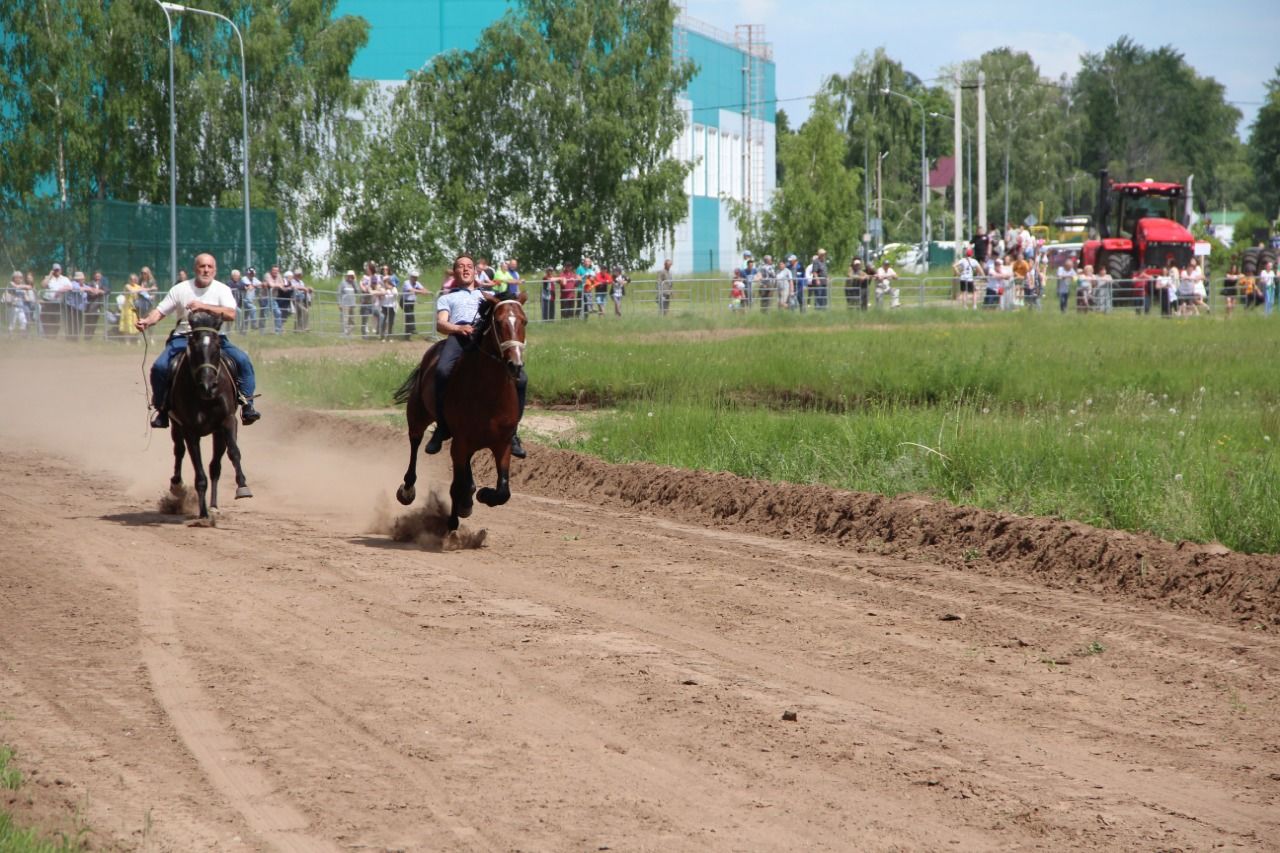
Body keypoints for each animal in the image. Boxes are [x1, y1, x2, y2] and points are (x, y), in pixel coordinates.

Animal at [167, 307, 252, 517]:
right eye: (193, 347)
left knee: (215, 466)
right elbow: (199, 473)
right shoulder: (190, 431)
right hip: (175, 425)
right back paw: (177, 486)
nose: (208, 386)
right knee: (178, 451)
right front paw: (203, 514)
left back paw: (213, 505)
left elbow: (233, 453)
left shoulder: (227, 422)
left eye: (217, 347)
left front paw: (242, 486)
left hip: (216, 432)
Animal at [391, 295, 527, 527]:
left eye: (524, 321)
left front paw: (483, 495)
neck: (489, 393)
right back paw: (408, 490)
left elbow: (503, 491)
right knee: (415, 442)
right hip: (418, 414)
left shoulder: (502, 444)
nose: (515, 364)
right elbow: (457, 486)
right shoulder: (460, 443)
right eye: (499, 322)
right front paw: (455, 517)